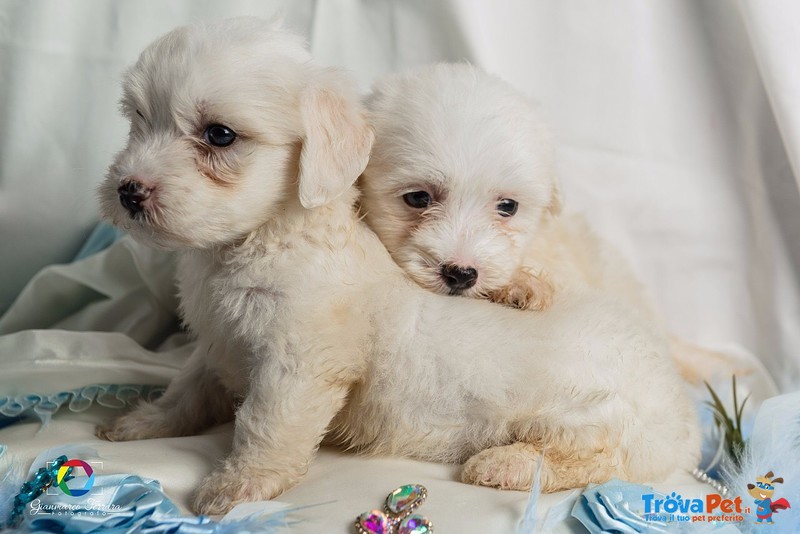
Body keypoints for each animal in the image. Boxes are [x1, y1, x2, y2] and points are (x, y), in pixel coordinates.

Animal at [97, 18, 700, 516]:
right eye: (139, 121)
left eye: (219, 135)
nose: (128, 190)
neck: (255, 245)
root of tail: (680, 415)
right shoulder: (217, 342)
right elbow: (189, 388)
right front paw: (147, 421)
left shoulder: (299, 367)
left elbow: (267, 427)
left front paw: (237, 485)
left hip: (583, 416)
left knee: (603, 461)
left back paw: (507, 464)